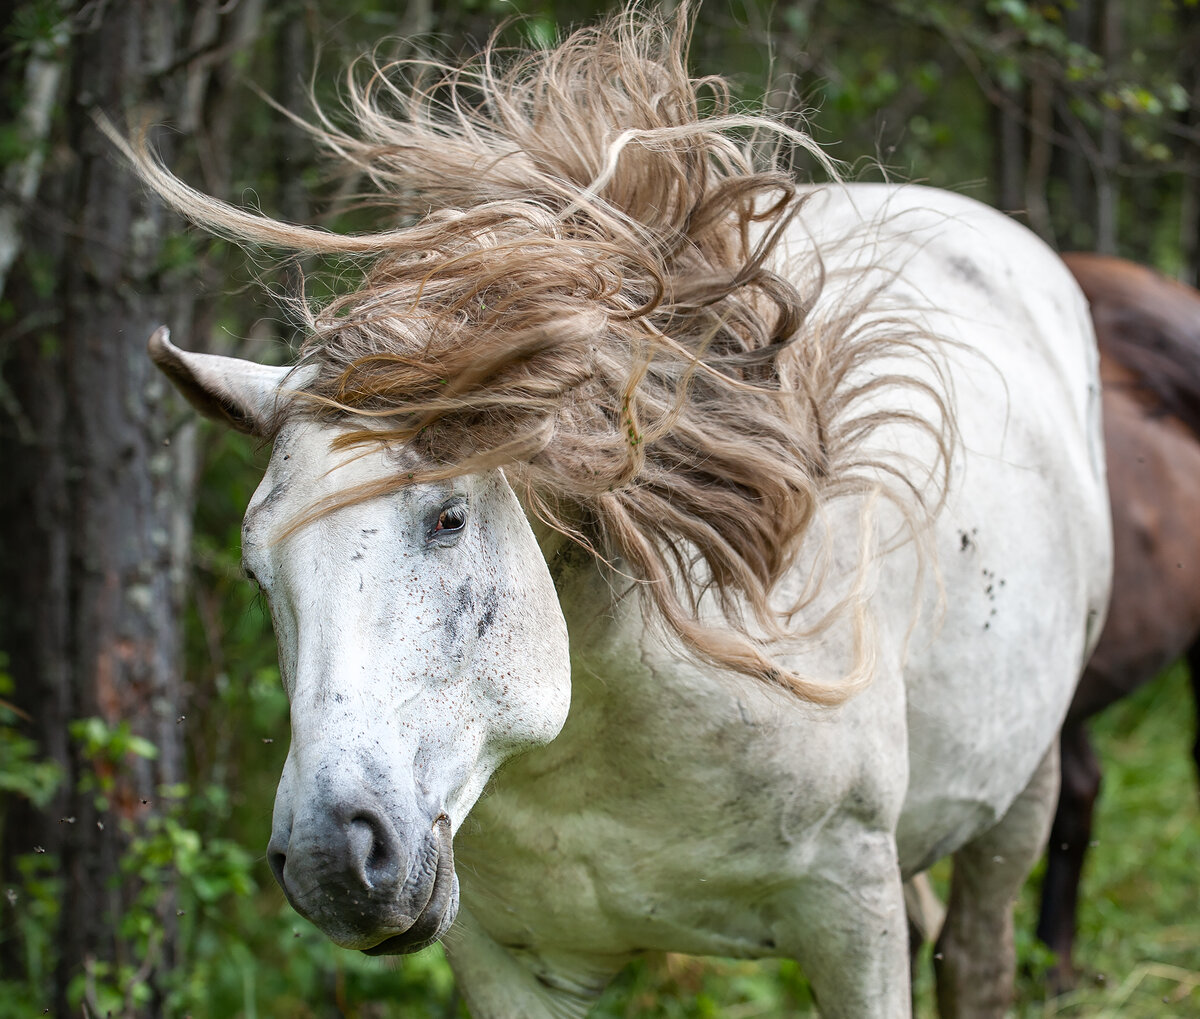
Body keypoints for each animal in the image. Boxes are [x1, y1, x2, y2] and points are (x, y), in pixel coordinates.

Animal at [129, 9, 1104, 1017]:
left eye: (447, 518)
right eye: (256, 569)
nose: (333, 858)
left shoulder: (852, 911)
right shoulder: (503, 959)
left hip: (1019, 795)